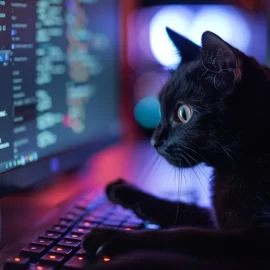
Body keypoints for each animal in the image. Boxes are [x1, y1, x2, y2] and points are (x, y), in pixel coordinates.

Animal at [81, 28, 270, 268]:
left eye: (183, 113)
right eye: (160, 107)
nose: (154, 141)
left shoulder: (254, 241)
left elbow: (182, 236)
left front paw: (111, 237)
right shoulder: (212, 217)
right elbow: (180, 209)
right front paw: (123, 190)